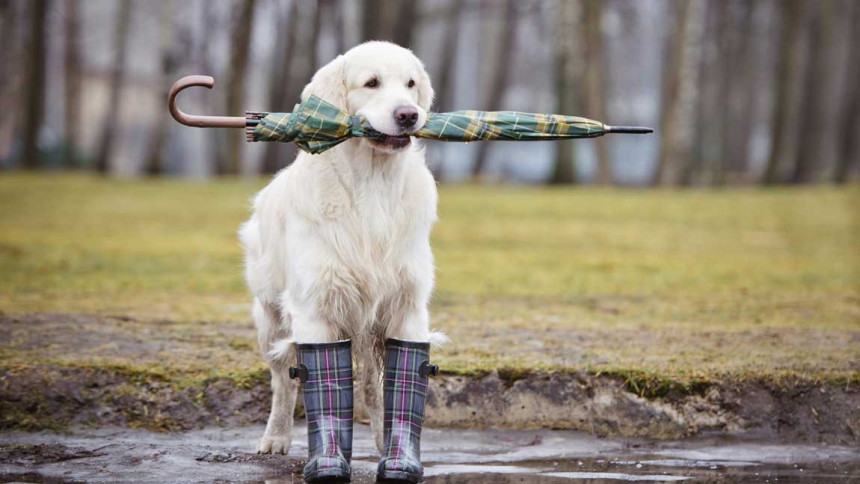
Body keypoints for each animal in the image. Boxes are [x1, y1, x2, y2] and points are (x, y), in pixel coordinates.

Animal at [240, 42, 444, 458]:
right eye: (371, 83)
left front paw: (397, 451)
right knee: (283, 381)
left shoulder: (407, 306)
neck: (373, 186)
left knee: (371, 384)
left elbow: (392, 385)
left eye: (411, 84)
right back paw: (276, 437)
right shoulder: (315, 308)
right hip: (270, 316)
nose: (408, 115)